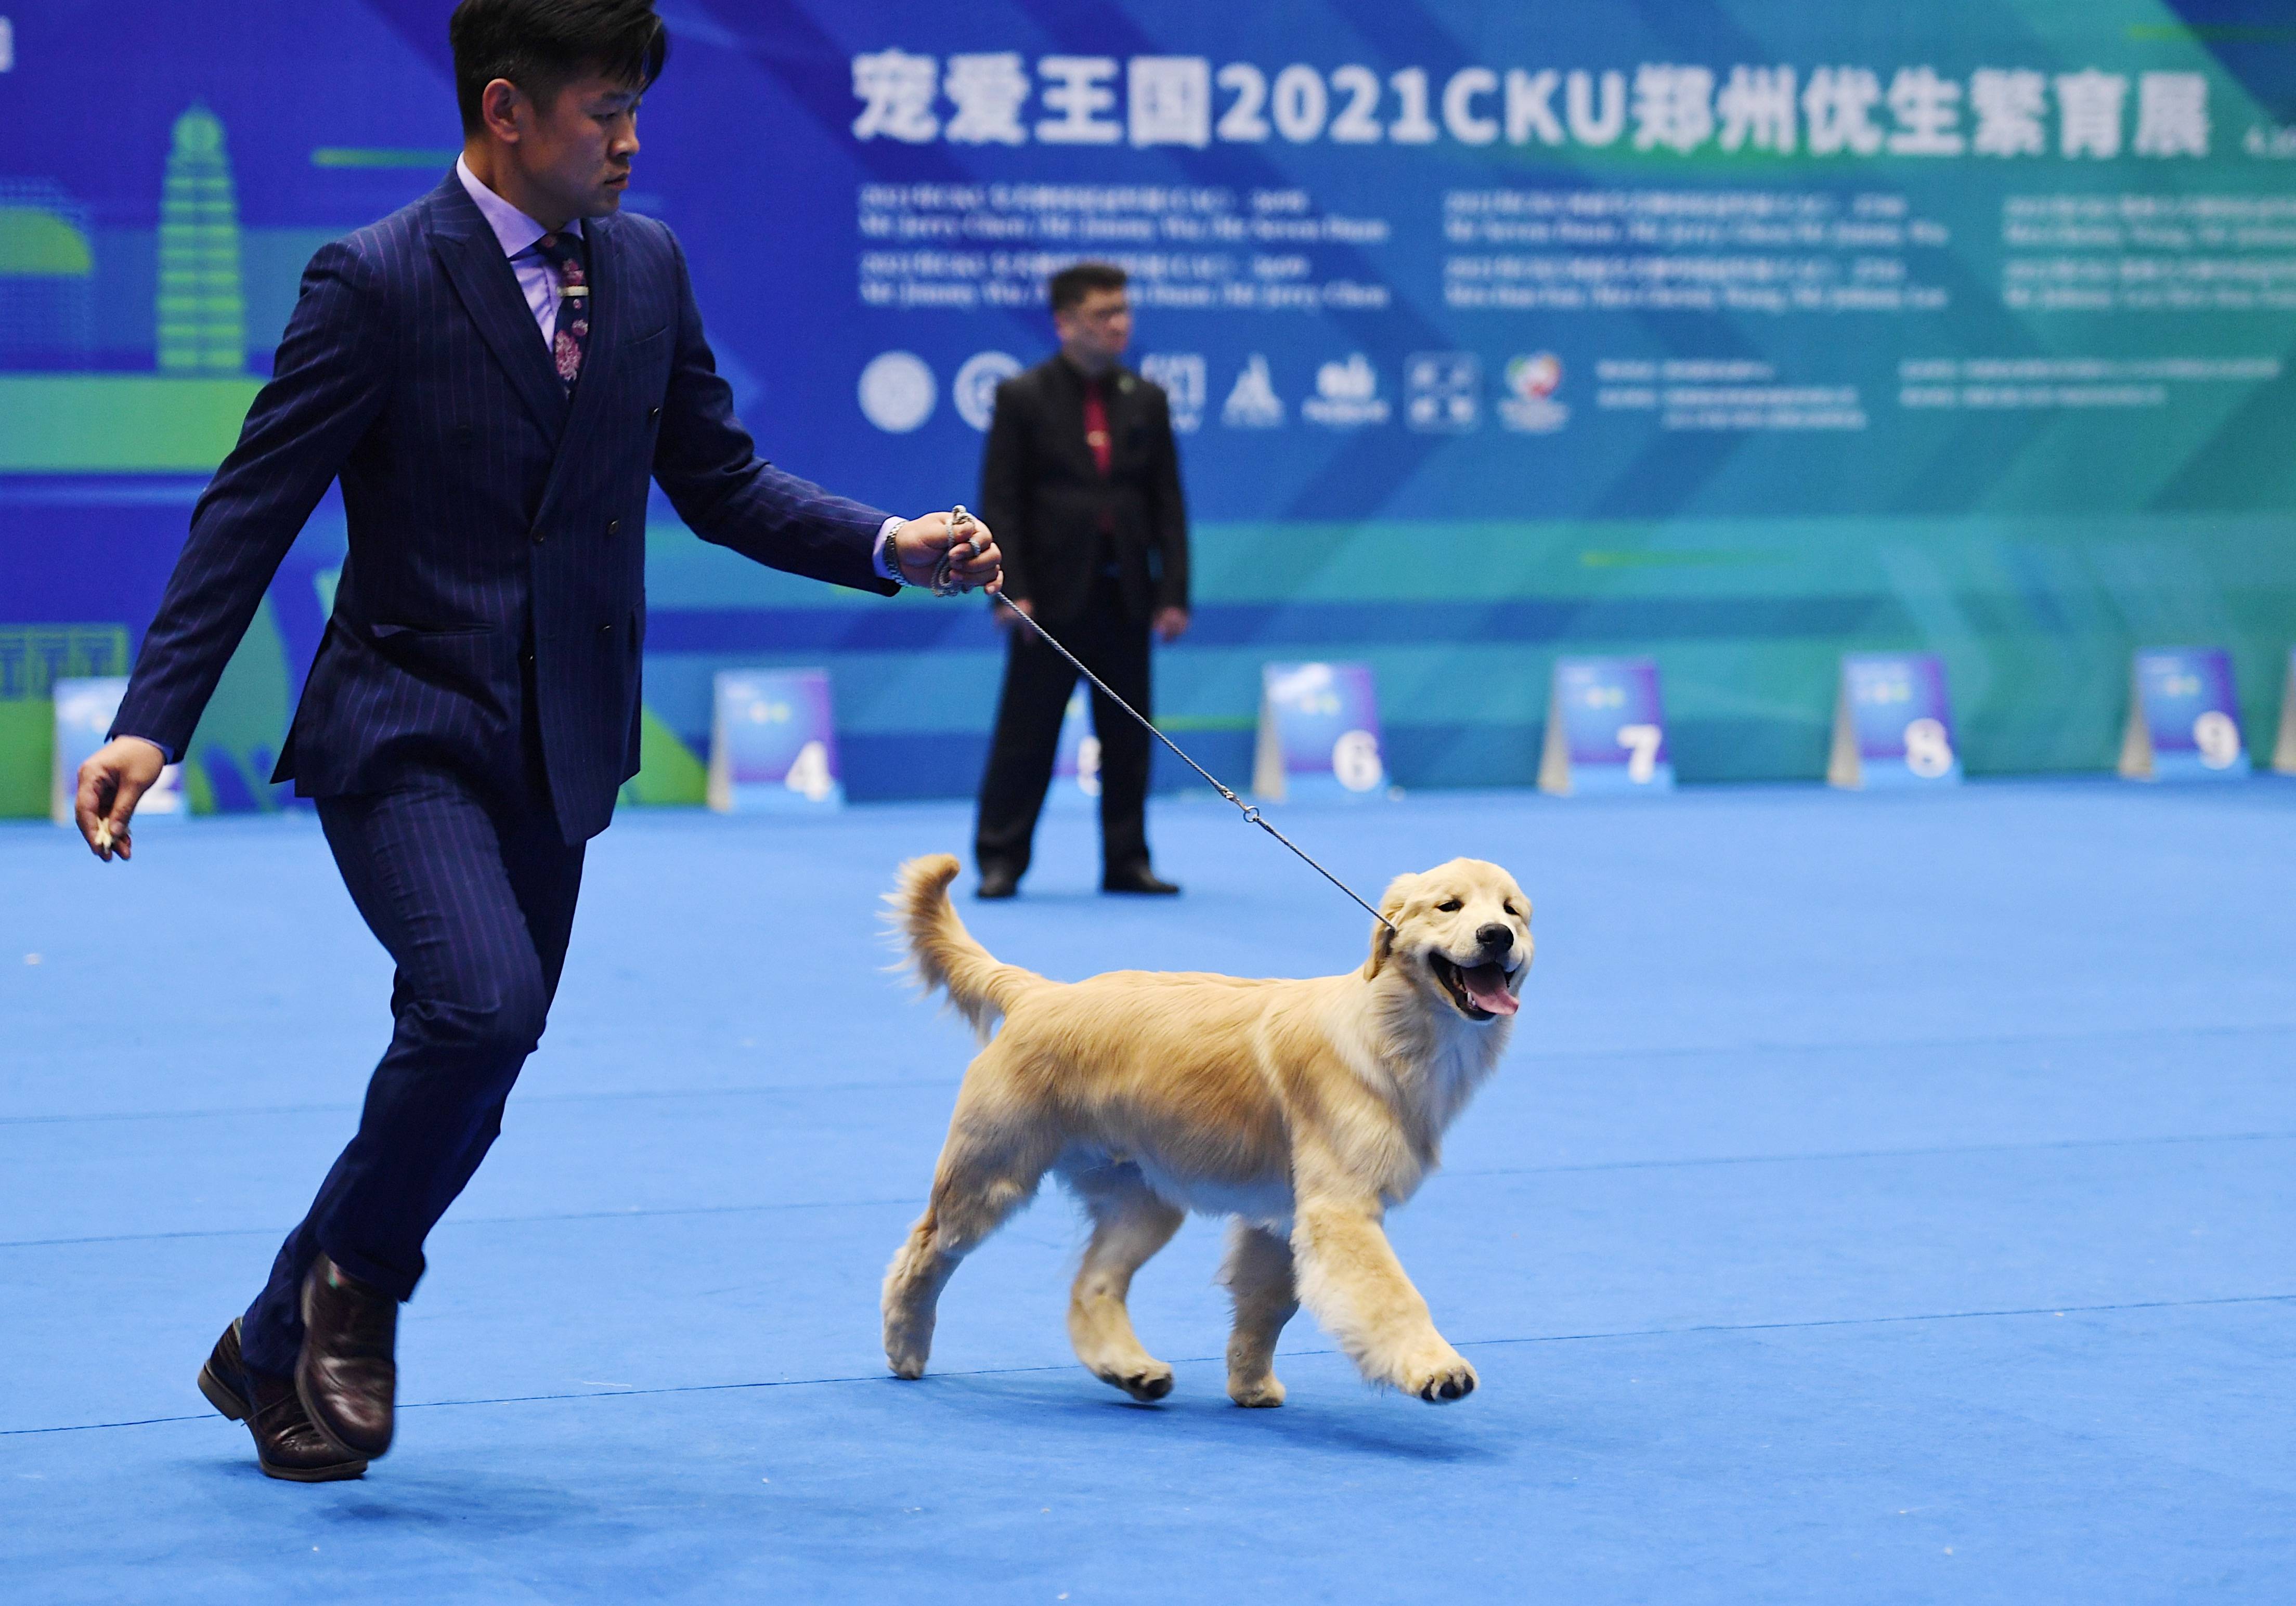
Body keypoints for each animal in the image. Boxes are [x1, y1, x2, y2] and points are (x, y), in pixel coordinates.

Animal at [886, 853, 1534, 1404]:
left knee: (1092, 1286)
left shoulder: (1280, 1217)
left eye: (1510, 911)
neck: (1391, 1031)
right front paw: (1436, 1366)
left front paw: (1250, 1384)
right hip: (991, 1174)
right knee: (924, 1249)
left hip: (1142, 1201)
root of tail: (1038, 992)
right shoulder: (1338, 1208)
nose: (1495, 937)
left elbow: (1265, 1307)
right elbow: (1392, 1296)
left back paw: (1131, 1369)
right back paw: (904, 1345)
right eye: (1449, 906)